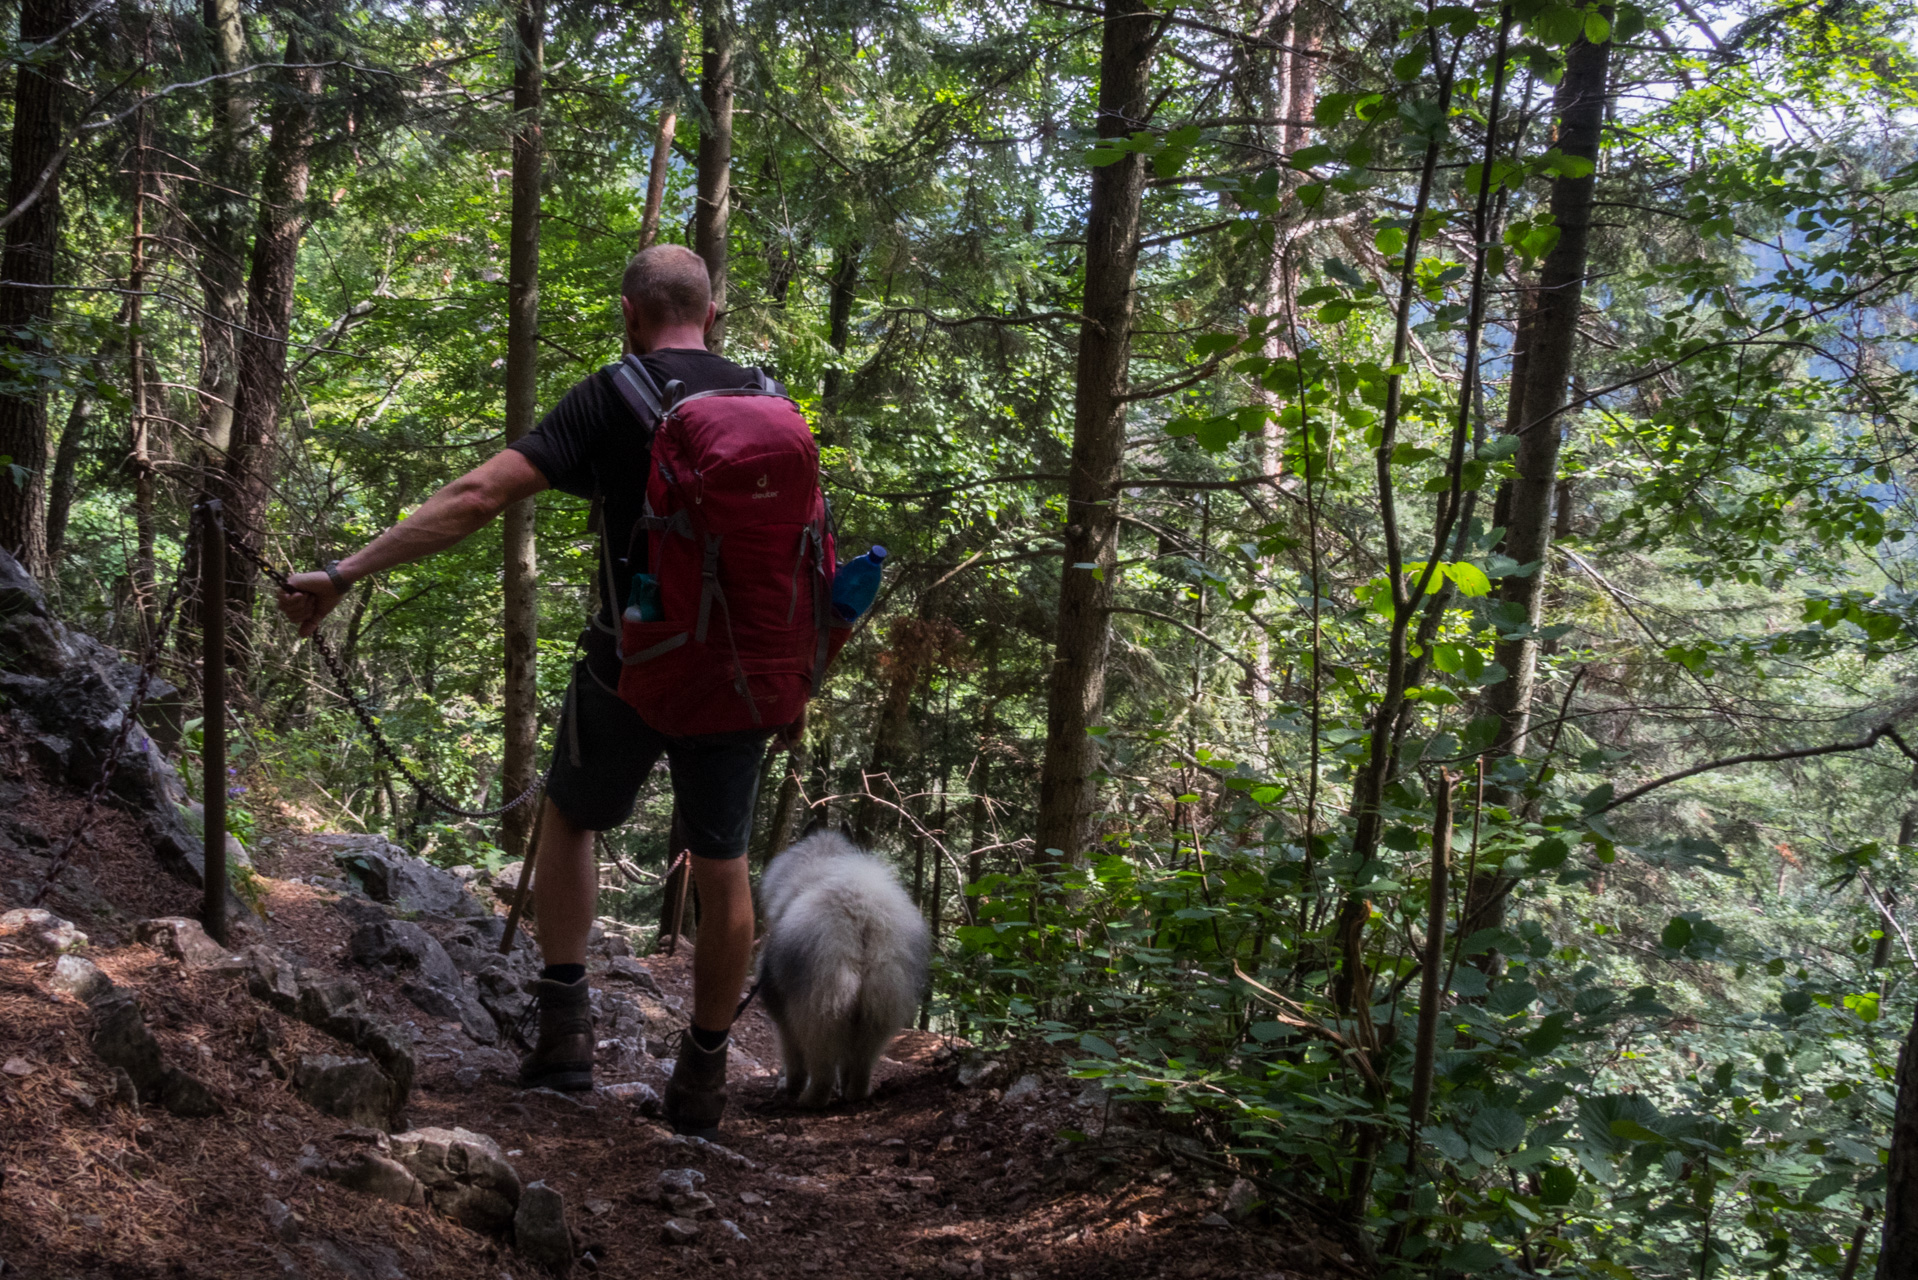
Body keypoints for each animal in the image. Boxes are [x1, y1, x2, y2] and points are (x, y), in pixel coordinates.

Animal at [751, 825, 932, 1105]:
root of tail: (862, 912)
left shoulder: (782, 1017)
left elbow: (793, 1060)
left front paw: (787, 1085)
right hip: (877, 1011)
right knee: (859, 1066)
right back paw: (854, 1095)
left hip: (819, 1009)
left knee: (822, 1071)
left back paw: (806, 1100)